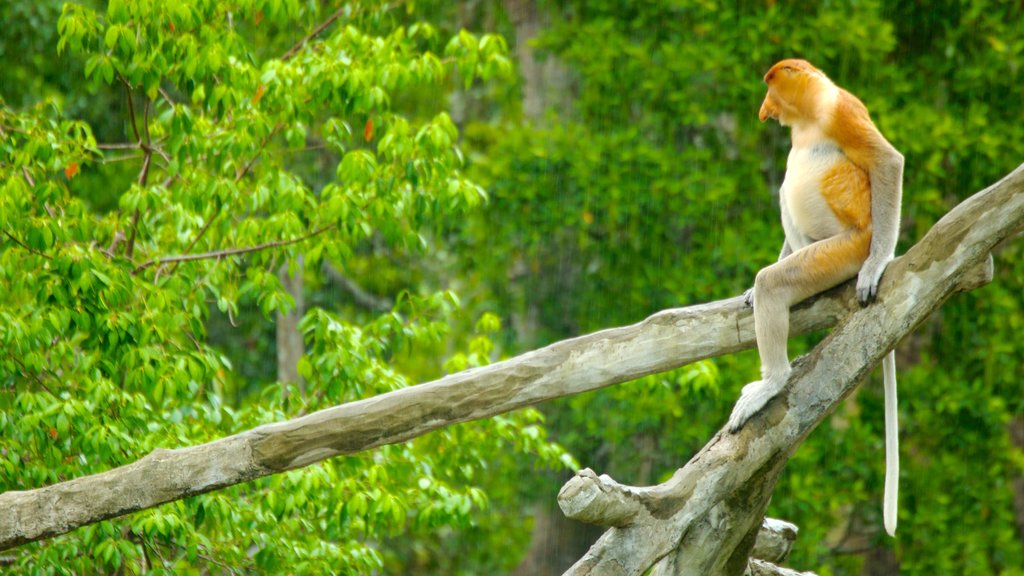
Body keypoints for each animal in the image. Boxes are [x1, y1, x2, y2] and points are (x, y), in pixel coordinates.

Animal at [729, 58, 905, 532]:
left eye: (771, 90)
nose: (763, 111)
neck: (810, 117)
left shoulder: (841, 111)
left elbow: (888, 161)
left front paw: (877, 266)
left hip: (841, 250)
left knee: (776, 282)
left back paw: (771, 381)